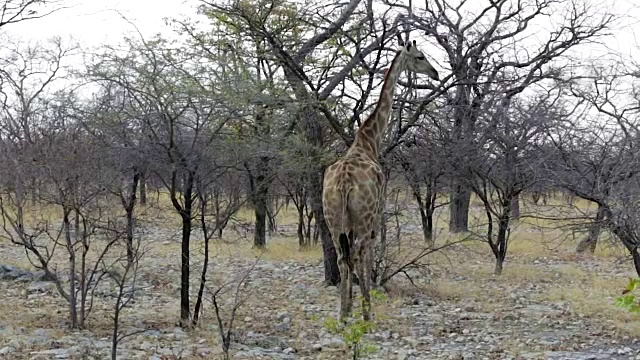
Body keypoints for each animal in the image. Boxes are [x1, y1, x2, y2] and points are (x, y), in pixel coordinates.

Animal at [322, 39, 438, 320]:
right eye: (420, 56)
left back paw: (342, 315)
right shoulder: (377, 209)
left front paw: (351, 306)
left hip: (332, 219)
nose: (436, 73)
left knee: (342, 257)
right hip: (363, 217)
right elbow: (370, 252)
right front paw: (366, 308)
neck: (369, 140)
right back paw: (361, 314)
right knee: (357, 252)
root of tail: (343, 182)